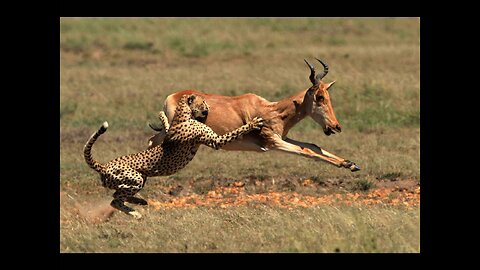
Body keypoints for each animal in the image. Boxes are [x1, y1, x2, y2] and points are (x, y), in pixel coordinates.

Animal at [82, 94, 262, 218]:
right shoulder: (216, 141)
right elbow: (235, 132)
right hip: (136, 179)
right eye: (203, 101)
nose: (209, 106)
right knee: (115, 199)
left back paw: (140, 201)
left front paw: (162, 116)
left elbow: (166, 127)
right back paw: (135, 212)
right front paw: (253, 123)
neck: (184, 113)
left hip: (140, 178)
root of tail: (103, 165)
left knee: (118, 196)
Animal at [148, 58, 358, 172]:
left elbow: (313, 146)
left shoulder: (283, 137)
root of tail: (172, 96)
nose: (336, 126)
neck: (271, 109)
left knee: (152, 140)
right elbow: (306, 151)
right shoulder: (273, 143)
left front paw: (350, 164)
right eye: (319, 97)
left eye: (328, 96)